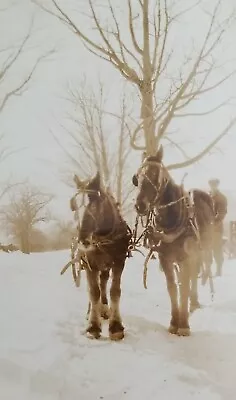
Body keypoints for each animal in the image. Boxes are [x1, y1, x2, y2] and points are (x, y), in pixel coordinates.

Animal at [71, 172, 132, 340]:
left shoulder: (119, 261)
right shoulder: (89, 263)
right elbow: (93, 292)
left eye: (95, 203)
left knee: (104, 281)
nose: (83, 240)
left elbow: (114, 291)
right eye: (74, 207)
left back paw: (104, 308)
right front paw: (93, 326)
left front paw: (116, 327)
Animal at [133, 145, 214, 336]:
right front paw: (174, 322)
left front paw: (183, 325)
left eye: (155, 173)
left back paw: (194, 301)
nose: (140, 205)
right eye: (137, 176)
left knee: (193, 276)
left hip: (199, 253)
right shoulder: (166, 259)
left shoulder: (187, 257)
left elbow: (183, 287)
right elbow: (172, 288)